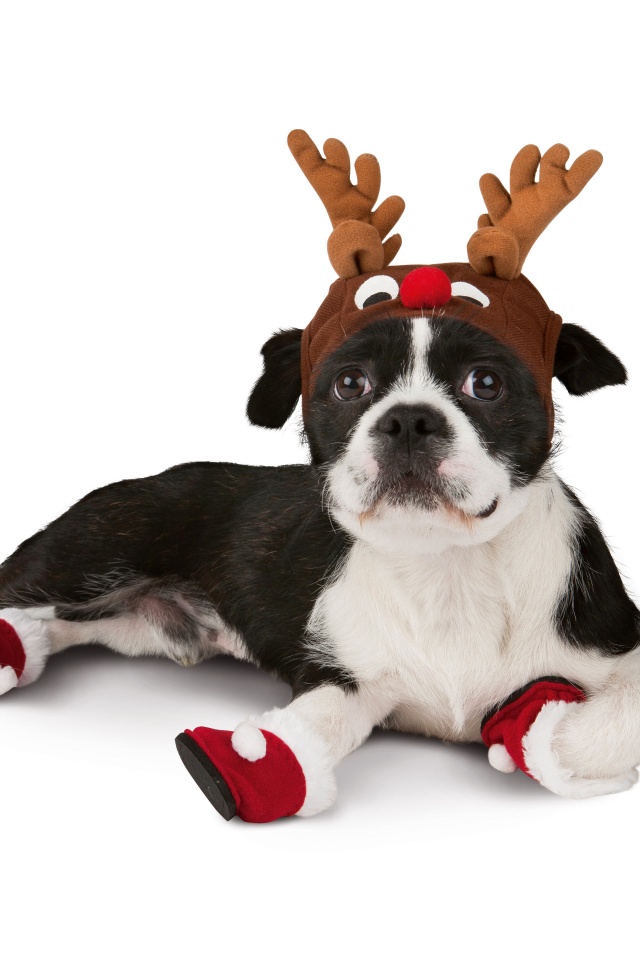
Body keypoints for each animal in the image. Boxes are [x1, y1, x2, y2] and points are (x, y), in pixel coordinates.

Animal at [1, 133, 640, 824]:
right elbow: (314, 725)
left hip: (126, 623)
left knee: (59, 626)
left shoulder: (620, 645)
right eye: (350, 383)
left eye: (487, 383)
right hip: (92, 548)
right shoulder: (343, 676)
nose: (409, 420)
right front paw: (246, 766)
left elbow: (602, 726)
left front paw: (524, 734)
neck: (446, 570)